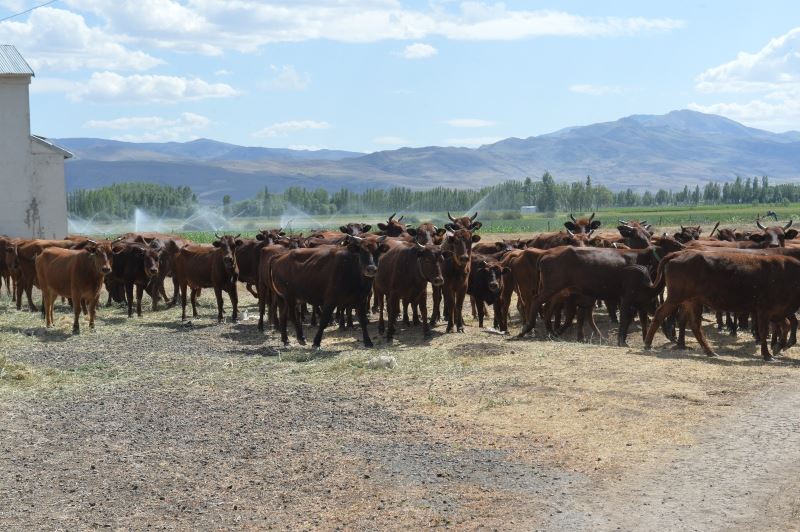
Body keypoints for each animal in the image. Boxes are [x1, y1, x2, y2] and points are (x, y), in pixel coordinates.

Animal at [644, 250, 800, 362]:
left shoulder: (778, 312)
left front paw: (779, 347)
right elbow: (764, 331)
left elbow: (787, 325)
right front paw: (768, 355)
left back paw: (709, 351)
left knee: (694, 325)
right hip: (675, 298)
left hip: (692, 301)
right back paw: (648, 344)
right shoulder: (764, 311)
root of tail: (680, 253)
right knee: (660, 314)